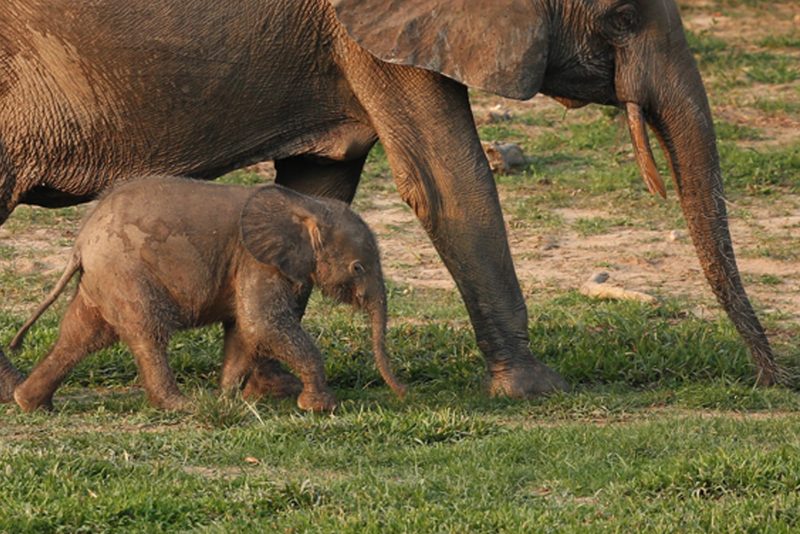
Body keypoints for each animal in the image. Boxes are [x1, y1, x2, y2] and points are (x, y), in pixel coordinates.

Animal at [9, 176, 407, 412]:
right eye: (358, 268)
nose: (402, 394)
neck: (306, 204)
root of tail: (79, 243)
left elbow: (245, 331)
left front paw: (228, 399)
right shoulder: (255, 260)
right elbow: (263, 323)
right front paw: (320, 407)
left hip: (103, 279)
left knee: (79, 335)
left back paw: (29, 403)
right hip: (126, 273)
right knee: (148, 334)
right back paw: (179, 405)